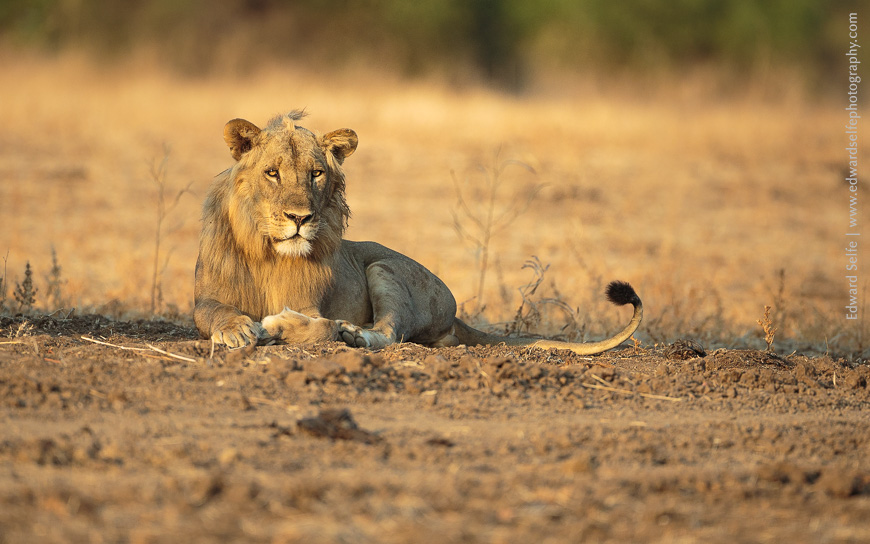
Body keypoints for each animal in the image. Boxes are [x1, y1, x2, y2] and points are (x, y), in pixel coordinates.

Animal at [194, 110, 643, 354]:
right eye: (272, 173)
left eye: (316, 174)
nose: (300, 218)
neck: (268, 251)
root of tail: (455, 311)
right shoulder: (207, 294)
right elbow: (211, 310)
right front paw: (236, 329)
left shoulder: (311, 303)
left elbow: (320, 325)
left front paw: (278, 327)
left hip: (384, 268)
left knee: (390, 332)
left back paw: (354, 335)